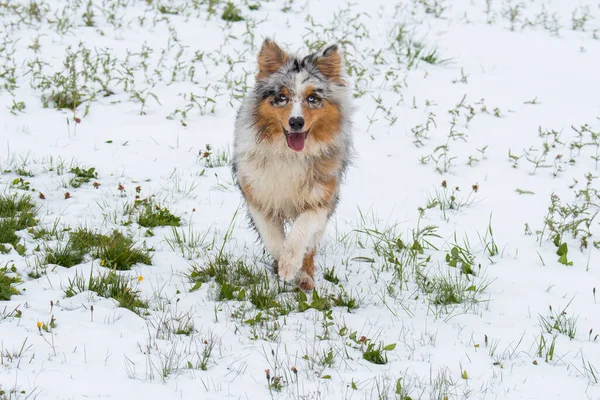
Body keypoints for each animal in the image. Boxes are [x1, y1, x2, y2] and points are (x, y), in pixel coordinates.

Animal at [231, 38, 352, 290]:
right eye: (282, 97)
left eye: (312, 98)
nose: (296, 122)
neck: (290, 155)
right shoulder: (258, 195)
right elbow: (273, 238)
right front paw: (282, 266)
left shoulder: (321, 197)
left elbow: (301, 231)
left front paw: (290, 265)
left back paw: (305, 278)